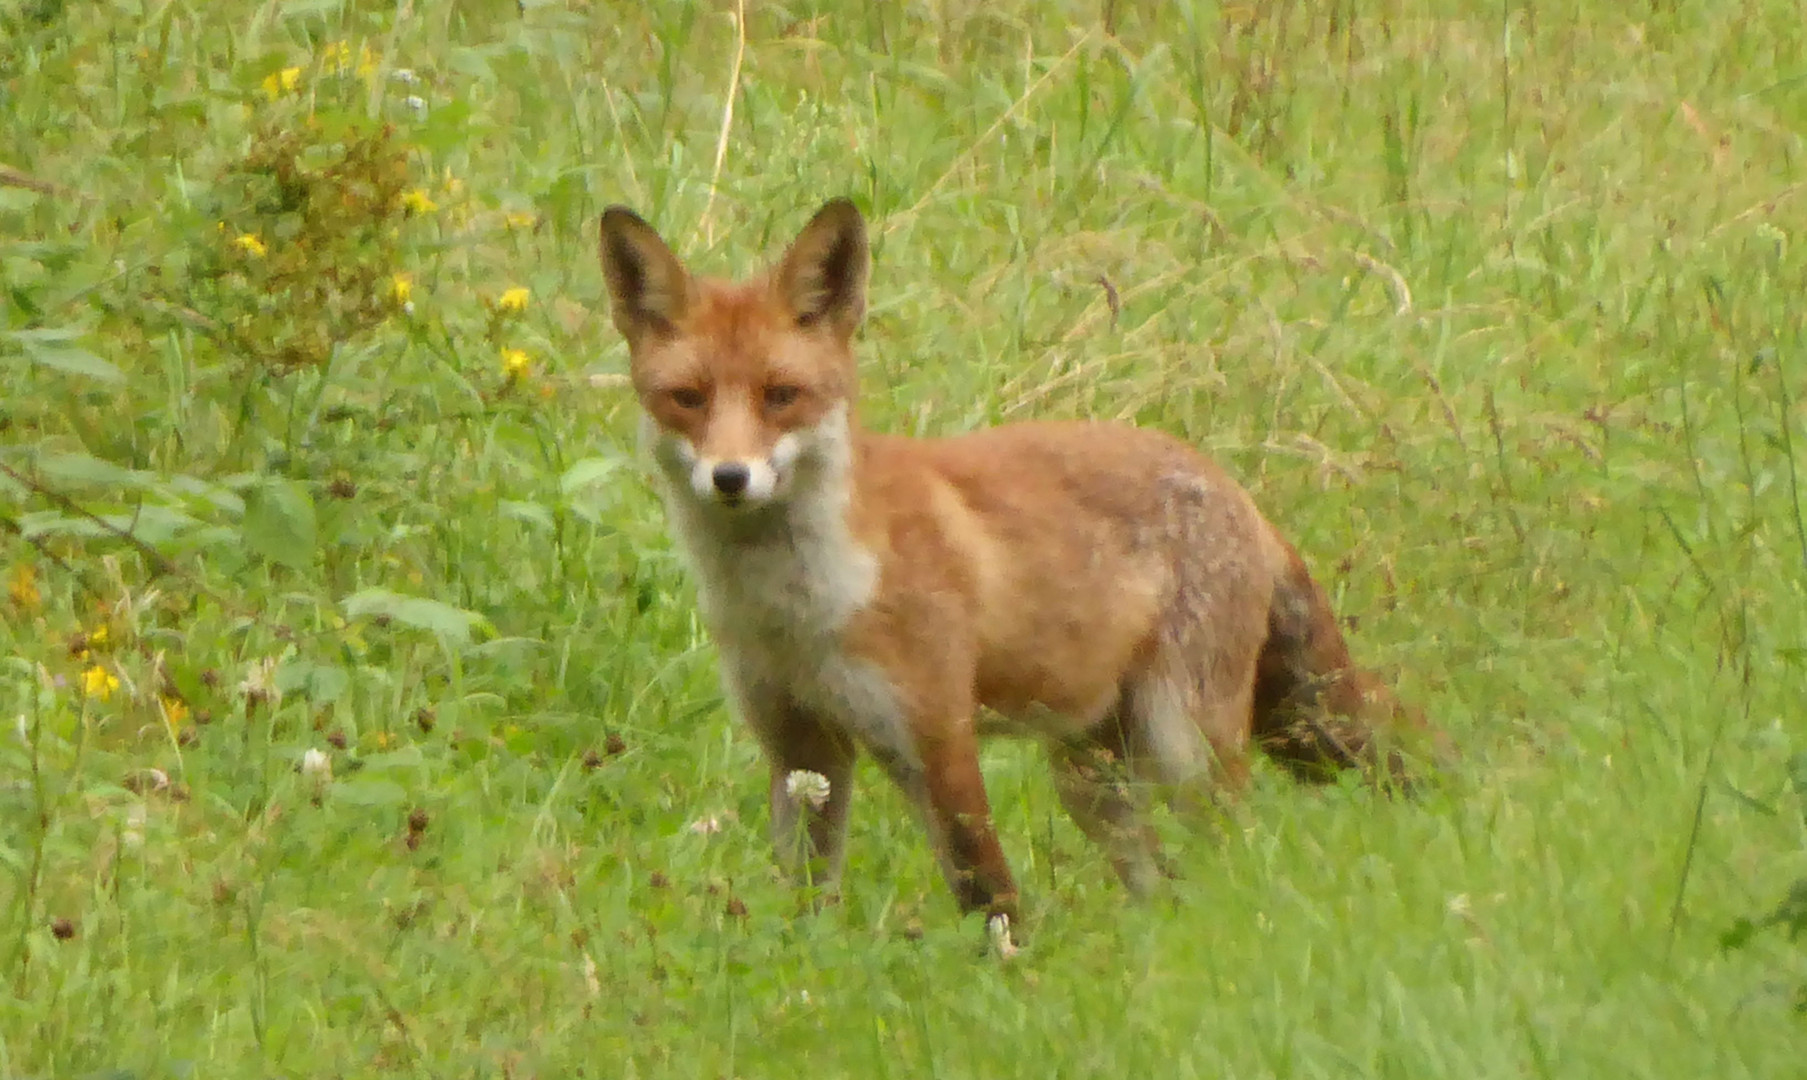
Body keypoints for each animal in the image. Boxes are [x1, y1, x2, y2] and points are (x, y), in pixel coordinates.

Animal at [603, 198, 1438, 953]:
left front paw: (1011, 979)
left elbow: (988, 891)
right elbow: (804, 898)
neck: (796, 611)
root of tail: (1236, 490)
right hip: (1091, 781)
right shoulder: (800, 747)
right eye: (688, 399)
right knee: (1163, 880)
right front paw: (800, 973)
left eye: (781, 395)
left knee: (1236, 853)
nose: (730, 477)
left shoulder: (933, 732)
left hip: (1184, 747)